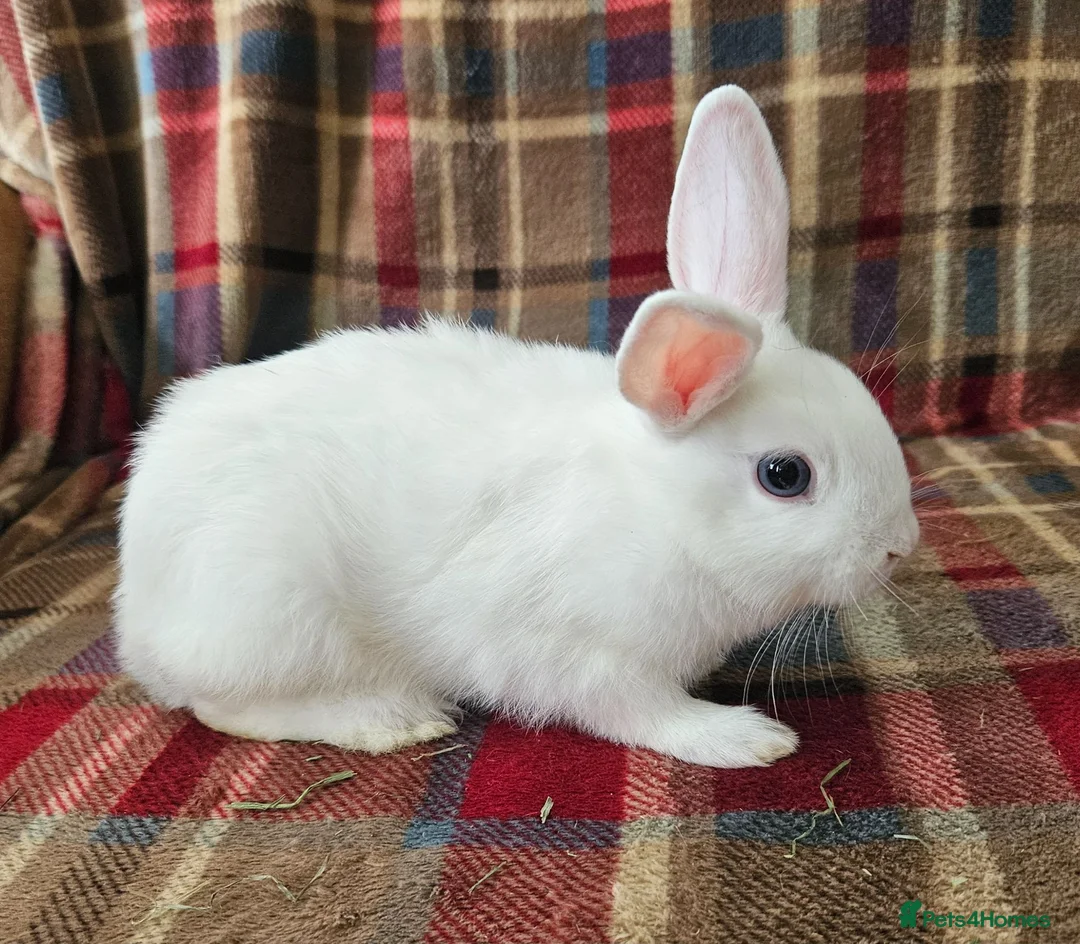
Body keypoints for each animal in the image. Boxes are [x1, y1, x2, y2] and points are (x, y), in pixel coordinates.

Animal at [114, 86, 918, 769]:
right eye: (786, 475)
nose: (899, 550)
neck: (658, 512)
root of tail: (137, 611)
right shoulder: (582, 655)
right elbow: (644, 713)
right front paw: (745, 738)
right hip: (271, 610)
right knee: (225, 706)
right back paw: (391, 718)